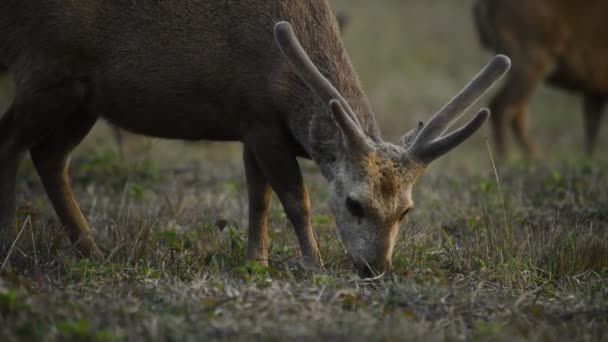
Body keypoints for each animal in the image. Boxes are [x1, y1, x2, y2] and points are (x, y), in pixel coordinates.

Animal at [0, 0, 508, 276]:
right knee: (11, 139)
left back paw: (91, 249)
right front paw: (314, 264)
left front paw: (255, 263)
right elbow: (295, 198)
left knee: (49, 155)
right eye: (353, 204)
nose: (376, 268)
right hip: (47, 67)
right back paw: (9, 249)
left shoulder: (250, 127)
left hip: (81, 98)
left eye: (406, 210)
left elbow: (257, 197)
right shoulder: (261, 118)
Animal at [476, 0, 608, 157]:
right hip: (532, 57)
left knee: (513, 110)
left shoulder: (595, 87)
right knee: (503, 108)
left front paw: (589, 158)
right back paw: (520, 157)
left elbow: (591, 126)